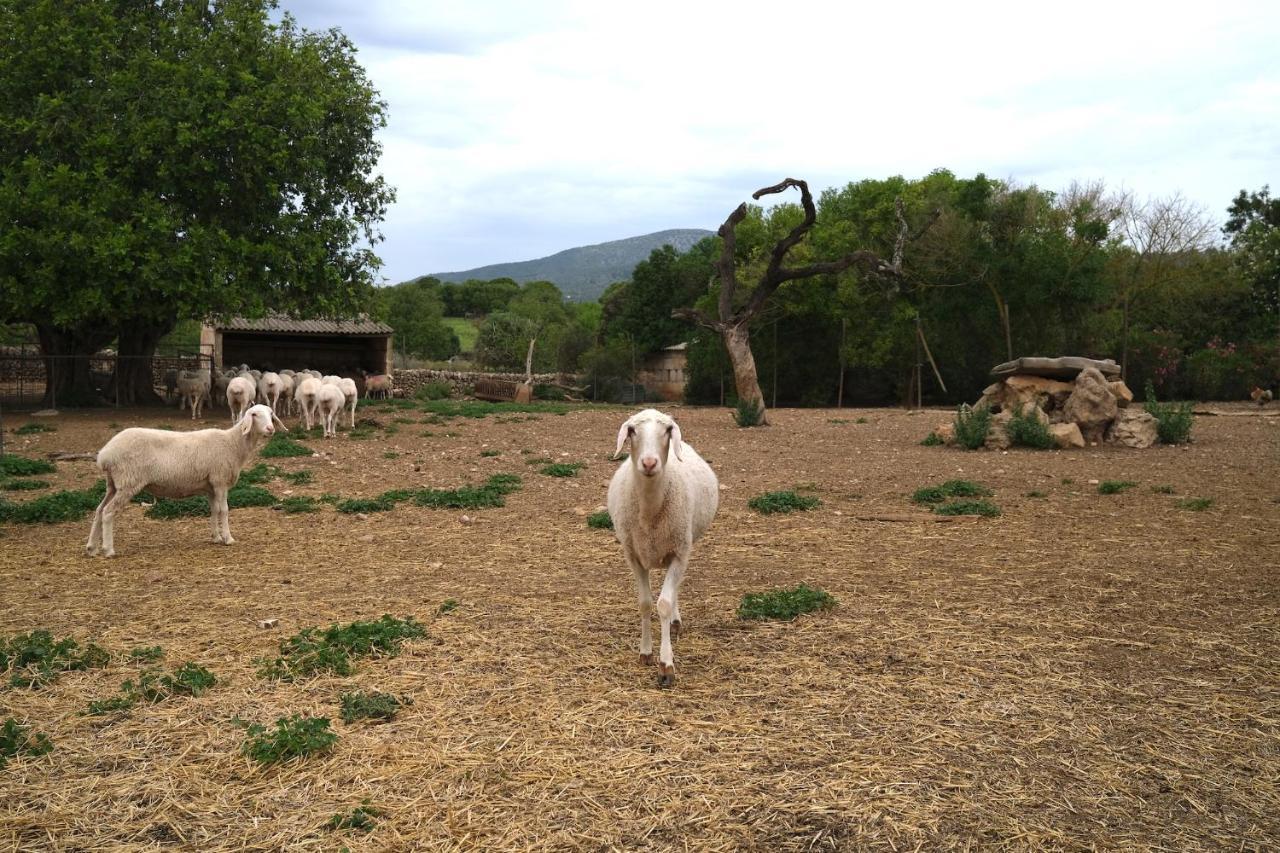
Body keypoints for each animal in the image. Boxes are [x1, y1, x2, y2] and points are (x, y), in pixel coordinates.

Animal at [88, 404, 290, 558]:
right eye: (254, 414)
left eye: (271, 414)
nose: (270, 429)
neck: (233, 444)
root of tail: (105, 455)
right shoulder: (220, 481)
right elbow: (224, 510)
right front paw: (228, 538)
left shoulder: (210, 487)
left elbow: (214, 510)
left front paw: (216, 537)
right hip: (128, 481)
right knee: (108, 512)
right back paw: (108, 549)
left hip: (113, 484)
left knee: (99, 510)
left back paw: (91, 547)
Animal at [606, 407, 721, 686]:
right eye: (632, 430)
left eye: (668, 430)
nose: (649, 463)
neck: (649, 512)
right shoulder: (634, 556)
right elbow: (646, 603)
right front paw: (646, 652)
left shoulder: (679, 552)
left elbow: (664, 604)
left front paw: (666, 665)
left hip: (684, 545)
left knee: (674, 590)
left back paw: (675, 623)